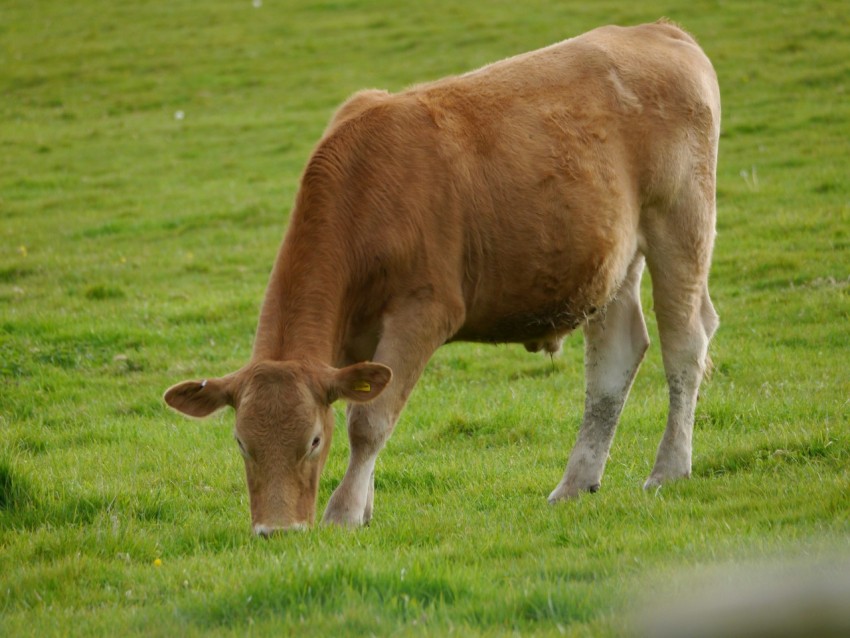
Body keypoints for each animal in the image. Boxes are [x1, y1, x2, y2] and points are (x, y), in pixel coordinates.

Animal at [164, 20, 720, 535]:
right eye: (241, 442)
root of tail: (658, 29)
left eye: (313, 441)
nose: (277, 531)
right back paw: (574, 483)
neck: (365, 190)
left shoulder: (425, 310)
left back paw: (669, 468)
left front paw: (344, 512)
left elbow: (370, 421)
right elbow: (365, 401)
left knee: (684, 344)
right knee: (617, 356)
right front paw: (364, 506)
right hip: (608, 264)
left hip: (680, 220)